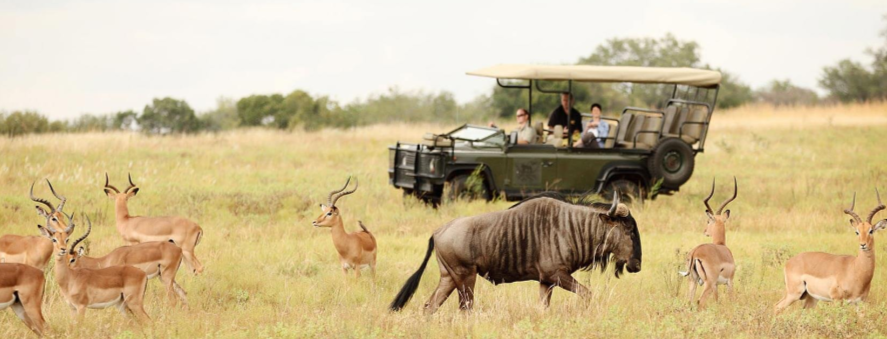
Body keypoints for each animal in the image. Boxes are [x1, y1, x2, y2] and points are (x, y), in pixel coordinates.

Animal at [684, 179, 740, 310]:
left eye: (708, 221)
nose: (705, 231)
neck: (721, 246)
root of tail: (695, 252)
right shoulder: (729, 281)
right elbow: (731, 299)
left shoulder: (716, 285)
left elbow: (716, 300)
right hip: (708, 283)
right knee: (700, 301)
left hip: (693, 281)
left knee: (689, 301)